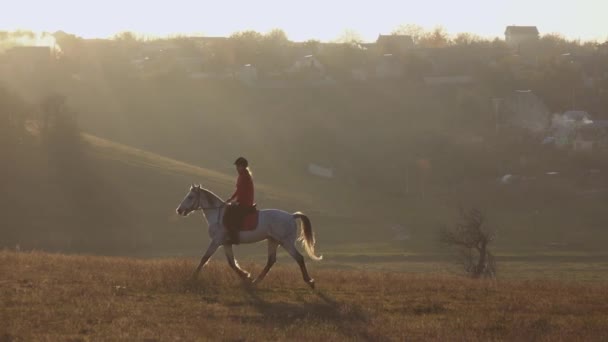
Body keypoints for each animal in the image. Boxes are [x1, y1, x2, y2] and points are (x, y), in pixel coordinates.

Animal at [176, 184, 324, 288]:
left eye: (190, 197)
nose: (179, 210)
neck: (217, 215)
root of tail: (292, 216)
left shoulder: (216, 241)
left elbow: (204, 258)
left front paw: (192, 278)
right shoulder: (226, 243)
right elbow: (231, 263)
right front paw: (246, 276)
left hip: (286, 242)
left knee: (299, 258)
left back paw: (309, 281)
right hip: (273, 241)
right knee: (271, 261)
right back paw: (256, 281)